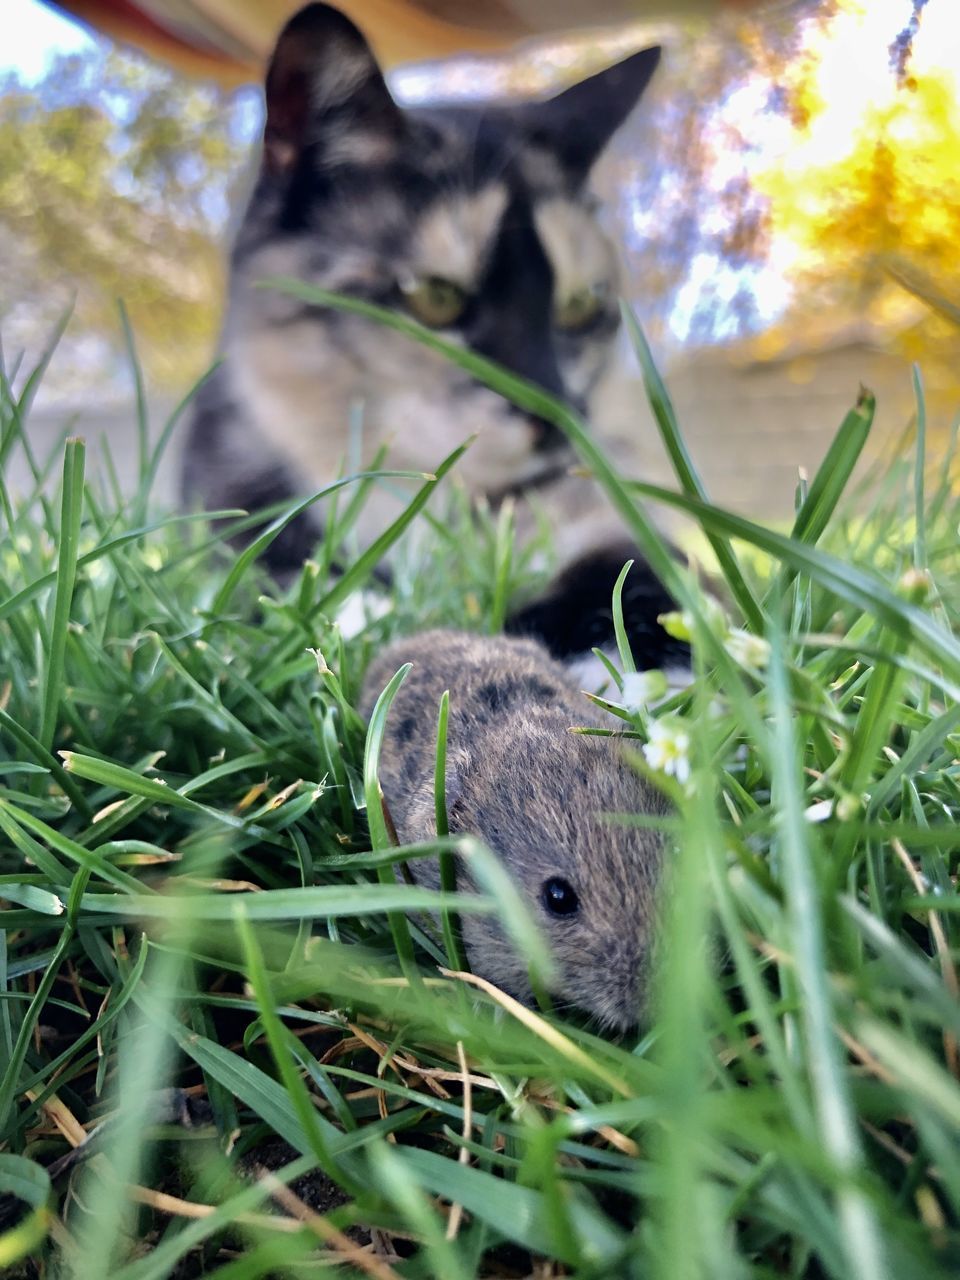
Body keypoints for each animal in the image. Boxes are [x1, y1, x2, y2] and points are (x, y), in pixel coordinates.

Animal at [181, 2, 691, 680]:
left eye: (581, 306)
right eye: (434, 296)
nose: (555, 414)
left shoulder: (598, 511)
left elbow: (637, 565)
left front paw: (637, 654)